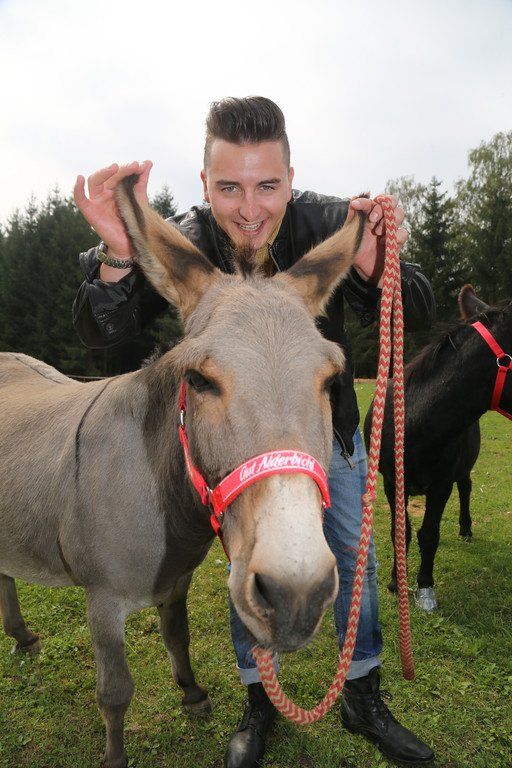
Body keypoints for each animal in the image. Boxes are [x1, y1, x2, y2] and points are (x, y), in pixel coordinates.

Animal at [364, 285, 512, 612]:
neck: (416, 425)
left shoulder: (441, 483)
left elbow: (429, 533)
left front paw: (425, 587)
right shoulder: (392, 482)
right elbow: (400, 531)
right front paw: (396, 582)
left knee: (466, 488)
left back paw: (465, 529)